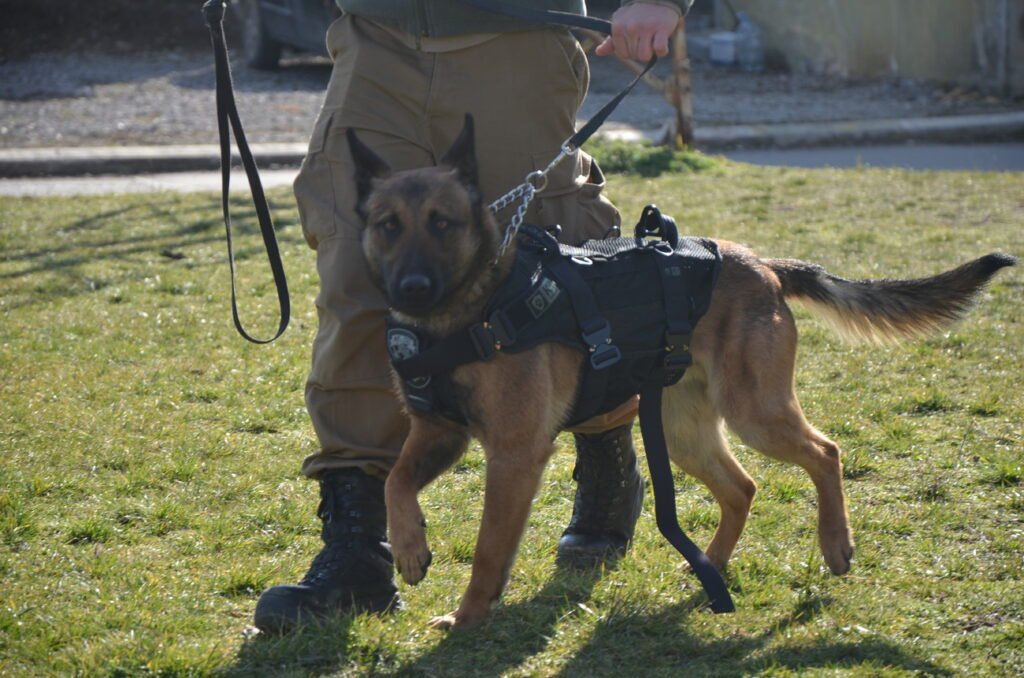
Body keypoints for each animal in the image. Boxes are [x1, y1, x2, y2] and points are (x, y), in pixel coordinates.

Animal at [347, 115, 1016, 630]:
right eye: (387, 225)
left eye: (443, 222)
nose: (410, 288)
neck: (470, 309)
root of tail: (761, 264)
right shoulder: (438, 433)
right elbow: (395, 480)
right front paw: (409, 547)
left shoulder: (513, 456)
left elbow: (488, 553)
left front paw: (466, 618)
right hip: (681, 431)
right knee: (743, 488)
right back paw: (711, 568)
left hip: (754, 414)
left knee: (826, 452)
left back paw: (835, 544)